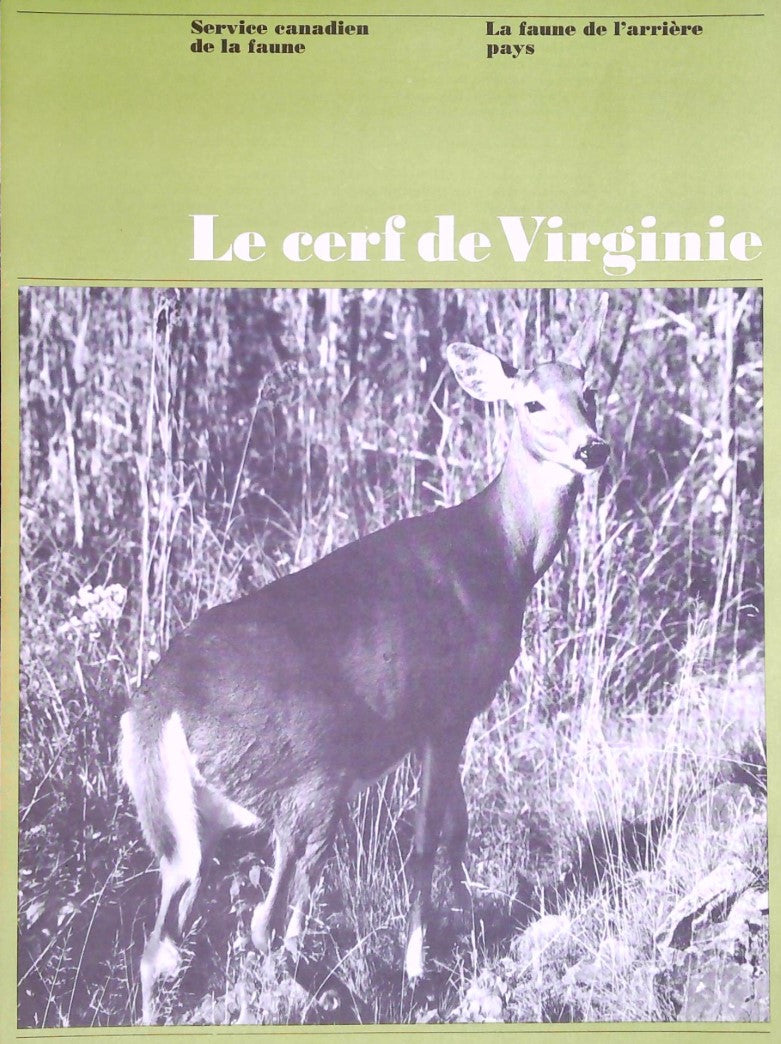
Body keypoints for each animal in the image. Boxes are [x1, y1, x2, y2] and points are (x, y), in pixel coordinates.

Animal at [119, 295, 611, 1024]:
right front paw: (420, 963)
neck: (503, 554)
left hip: (186, 824)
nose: (592, 447)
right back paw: (328, 990)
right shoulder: (450, 706)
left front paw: (464, 929)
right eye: (531, 403)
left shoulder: (443, 718)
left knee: (161, 944)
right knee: (265, 920)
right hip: (311, 777)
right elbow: (429, 836)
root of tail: (160, 707)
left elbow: (456, 826)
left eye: (590, 390)